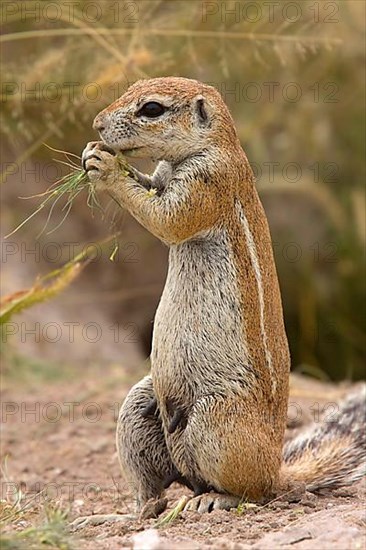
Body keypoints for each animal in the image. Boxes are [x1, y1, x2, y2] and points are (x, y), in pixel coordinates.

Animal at [81, 76, 364, 512]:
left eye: (151, 108)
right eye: (132, 87)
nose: (96, 123)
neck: (213, 146)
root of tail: (277, 472)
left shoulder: (207, 182)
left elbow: (166, 219)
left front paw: (104, 164)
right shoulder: (164, 175)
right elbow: (149, 189)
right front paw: (93, 152)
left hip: (218, 421)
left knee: (249, 492)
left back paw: (216, 500)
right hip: (141, 403)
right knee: (157, 493)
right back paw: (125, 514)